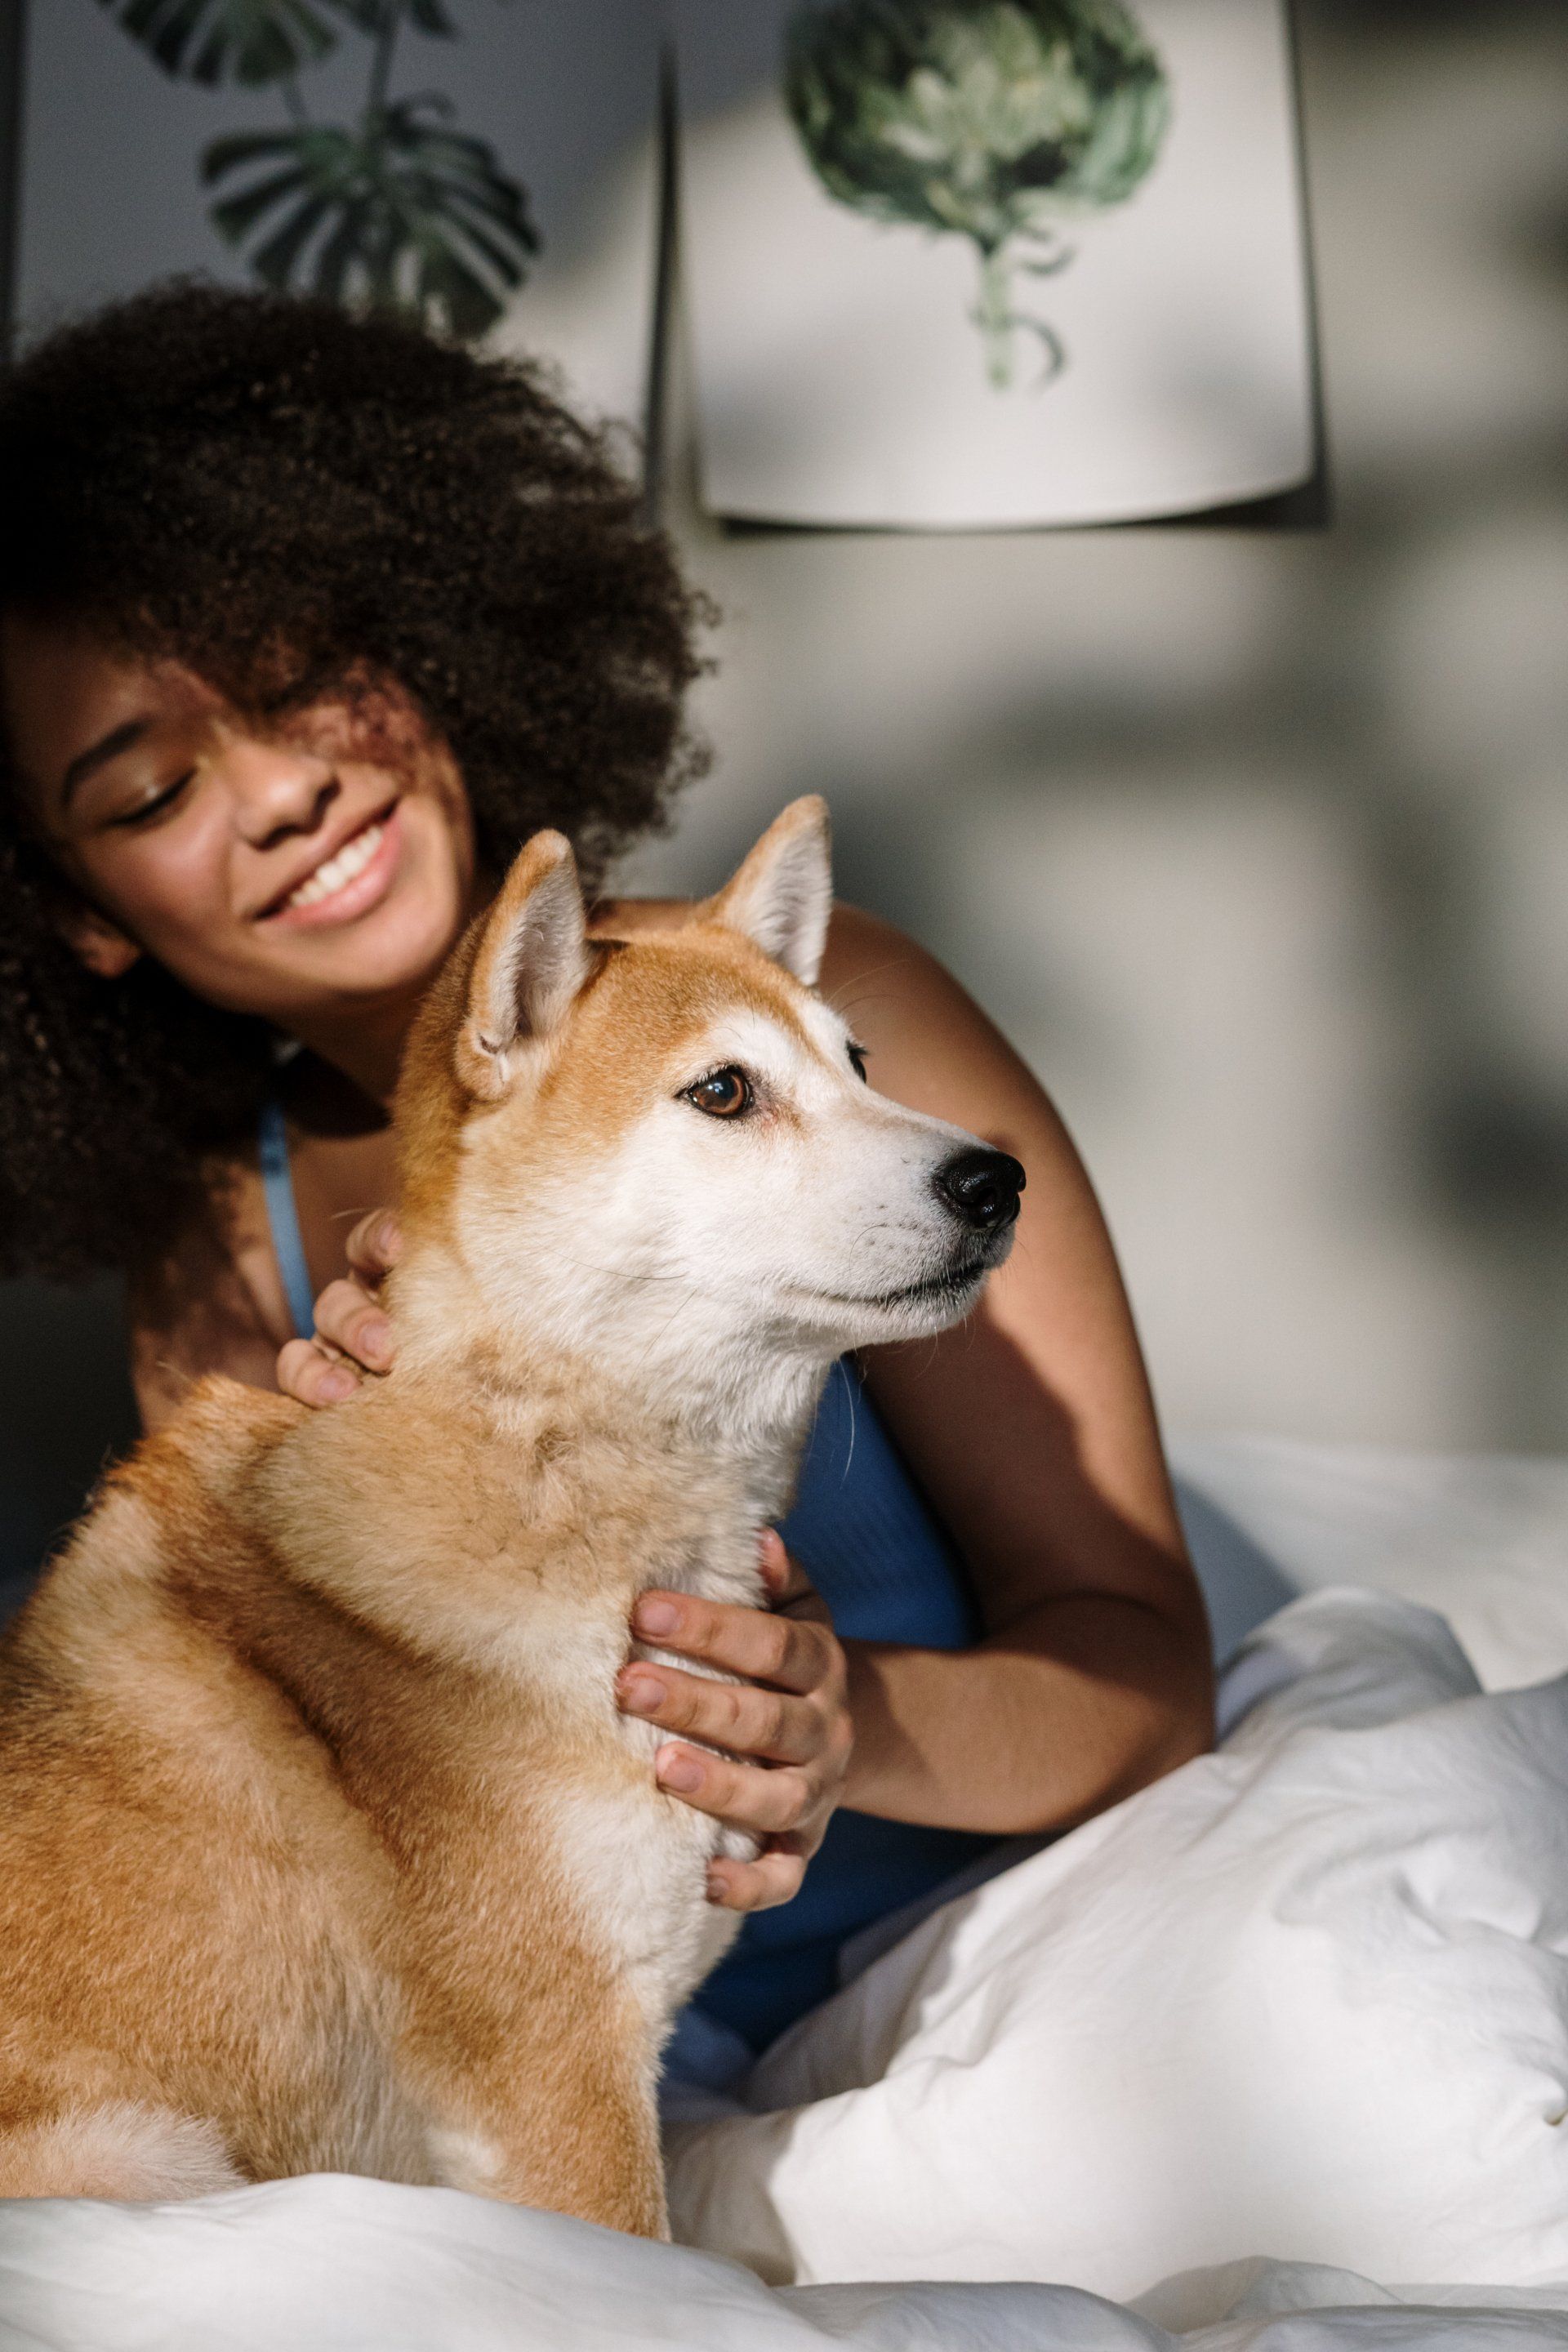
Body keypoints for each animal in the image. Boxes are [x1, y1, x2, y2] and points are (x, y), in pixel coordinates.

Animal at [0, 804, 1025, 2238]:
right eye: (724, 1092)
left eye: (861, 1062)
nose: (998, 1179)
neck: (540, 1461)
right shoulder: (561, 2083)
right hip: (155, 2160)